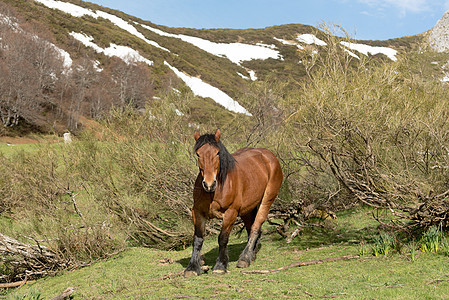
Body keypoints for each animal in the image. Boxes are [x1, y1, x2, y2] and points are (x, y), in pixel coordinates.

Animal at [184, 129, 282, 276]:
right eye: (198, 154)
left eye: (217, 153)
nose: (209, 184)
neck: (216, 190)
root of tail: (268, 156)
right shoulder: (198, 212)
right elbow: (198, 239)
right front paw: (192, 267)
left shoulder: (230, 213)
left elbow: (223, 238)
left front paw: (220, 266)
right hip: (248, 209)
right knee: (250, 228)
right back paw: (251, 255)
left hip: (266, 201)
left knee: (255, 227)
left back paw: (245, 258)